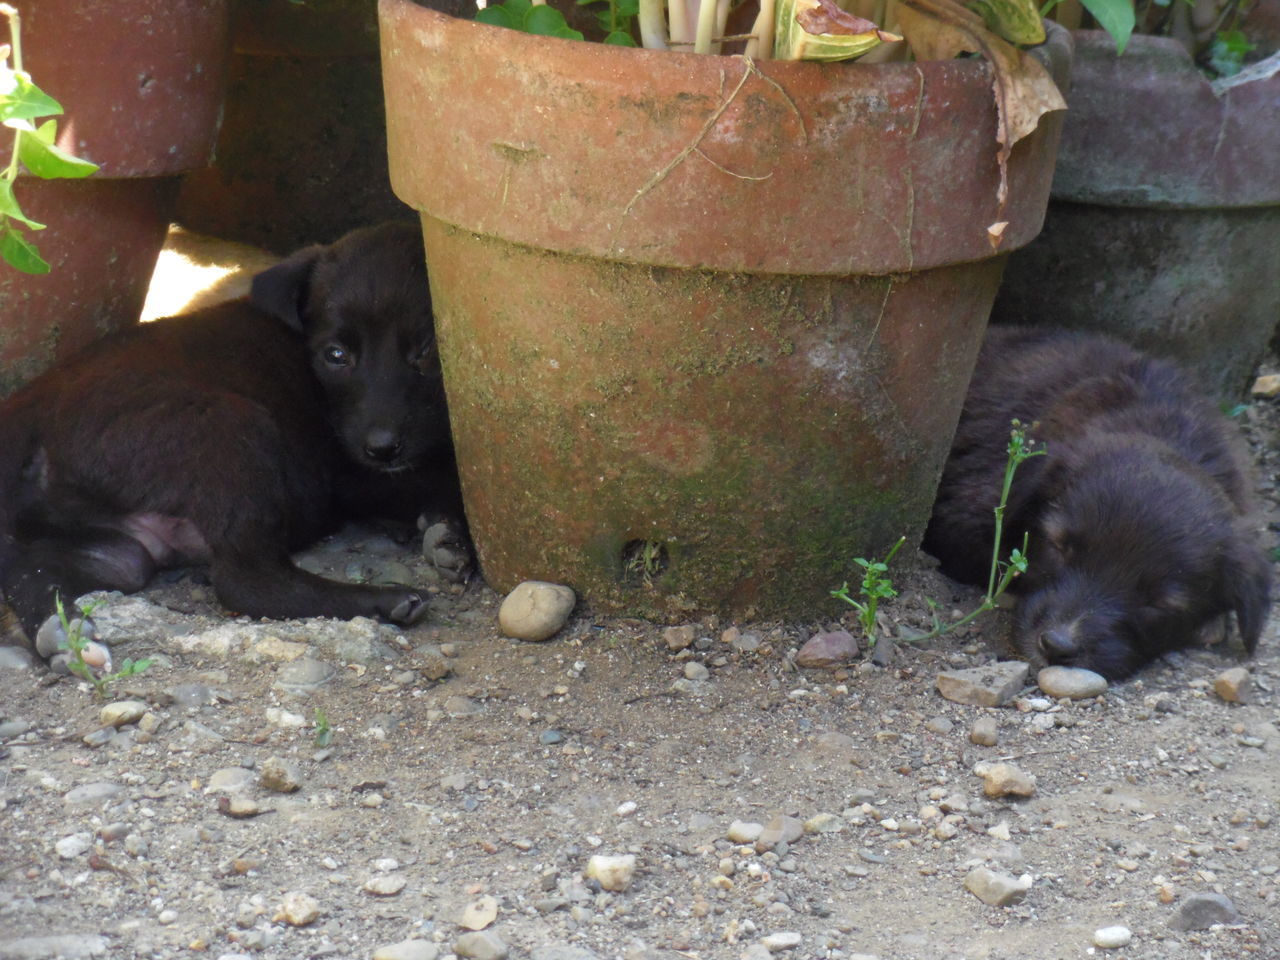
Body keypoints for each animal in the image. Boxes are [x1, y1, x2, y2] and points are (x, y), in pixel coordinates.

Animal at [0, 221, 471, 660]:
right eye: (336, 355)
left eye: (428, 352)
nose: (382, 447)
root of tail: (29, 412)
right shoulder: (346, 469)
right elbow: (442, 480)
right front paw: (450, 532)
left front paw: (448, 536)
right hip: (229, 428)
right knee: (247, 583)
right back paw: (381, 600)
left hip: (114, 544)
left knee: (46, 567)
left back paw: (63, 634)